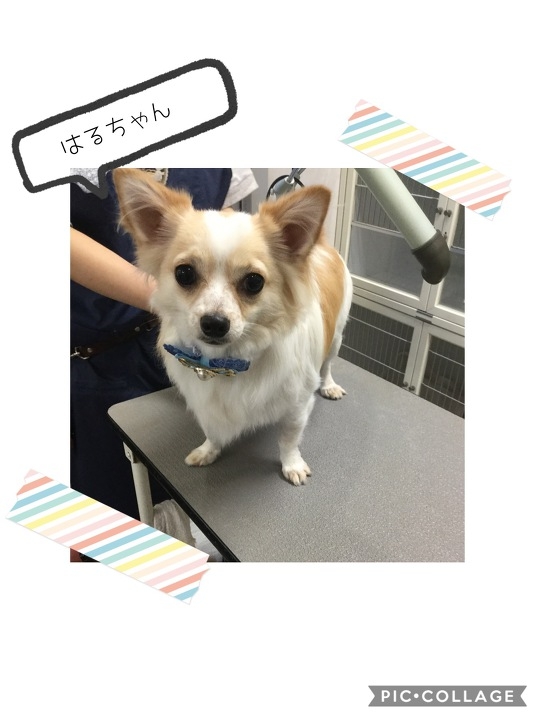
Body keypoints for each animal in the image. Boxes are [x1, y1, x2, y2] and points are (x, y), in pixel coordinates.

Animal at [113, 169, 353, 485]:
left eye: (254, 282)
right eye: (184, 273)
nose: (214, 323)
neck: (228, 360)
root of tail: (322, 245)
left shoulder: (298, 405)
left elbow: (289, 438)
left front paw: (291, 464)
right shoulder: (205, 402)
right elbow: (212, 430)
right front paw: (208, 450)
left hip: (336, 337)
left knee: (327, 366)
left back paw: (330, 386)